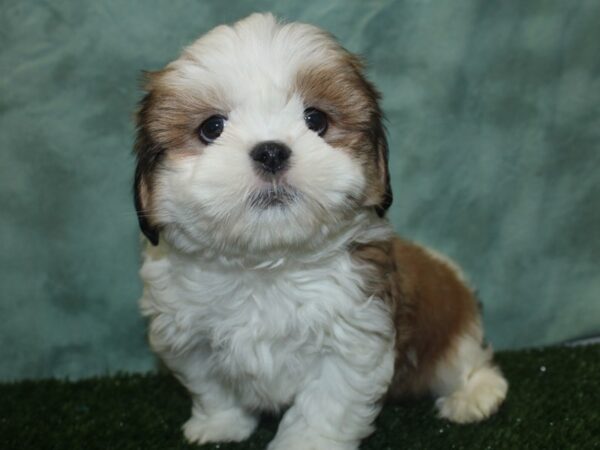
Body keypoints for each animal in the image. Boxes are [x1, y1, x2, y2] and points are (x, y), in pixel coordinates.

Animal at [135, 12, 506, 448]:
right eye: (212, 128)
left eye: (316, 120)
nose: (271, 151)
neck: (265, 267)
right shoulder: (189, 338)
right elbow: (212, 387)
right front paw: (221, 424)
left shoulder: (354, 337)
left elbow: (325, 404)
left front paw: (306, 441)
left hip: (451, 332)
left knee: (466, 361)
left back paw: (475, 394)